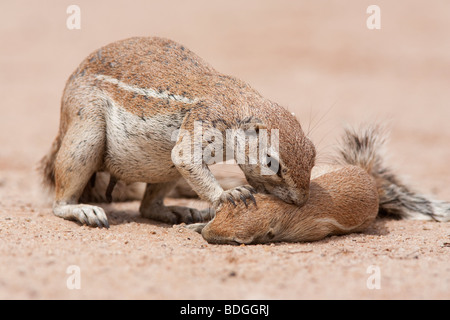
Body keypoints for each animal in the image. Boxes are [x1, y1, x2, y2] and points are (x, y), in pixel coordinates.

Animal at [40, 37, 316, 228]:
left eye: (313, 153)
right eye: (271, 163)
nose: (302, 200)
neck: (240, 104)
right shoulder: (204, 120)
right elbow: (185, 156)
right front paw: (227, 194)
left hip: (164, 167)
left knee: (147, 207)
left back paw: (180, 211)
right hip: (86, 132)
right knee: (60, 200)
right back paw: (83, 210)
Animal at [196, 124, 450, 244]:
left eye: (238, 240)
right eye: (219, 213)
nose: (207, 233)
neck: (281, 209)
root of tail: (368, 175)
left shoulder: (309, 230)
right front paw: (198, 225)